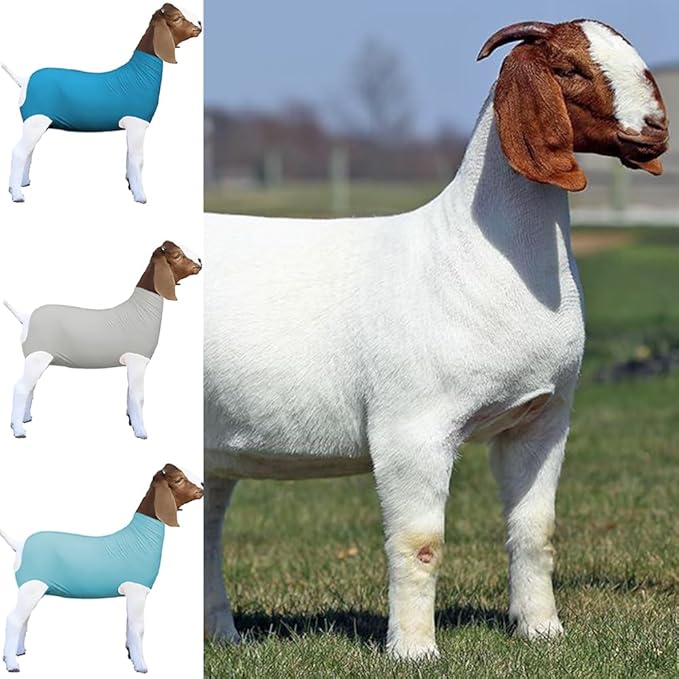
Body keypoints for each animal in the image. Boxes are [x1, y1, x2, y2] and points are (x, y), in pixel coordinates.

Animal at [0, 463, 203, 673]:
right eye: (178, 479)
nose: (203, 486)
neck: (139, 537)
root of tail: (19, 545)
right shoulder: (137, 590)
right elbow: (138, 628)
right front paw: (141, 666)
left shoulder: (131, 594)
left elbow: (129, 626)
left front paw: (130, 654)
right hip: (32, 587)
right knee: (13, 620)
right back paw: (12, 664)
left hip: (31, 589)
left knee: (24, 619)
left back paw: (18, 652)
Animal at [2, 4, 201, 203]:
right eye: (176, 18)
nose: (200, 23)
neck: (138, 75)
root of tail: (23, 81)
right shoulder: (137, 124)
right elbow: (137, 160)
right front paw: (140, 196)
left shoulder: (131, 127)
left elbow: (129, 158)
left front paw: (131, 186)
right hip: (36, 121)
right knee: (19, 152)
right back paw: (17, 194)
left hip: (36, 123)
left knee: (28, 152)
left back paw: (22, 184)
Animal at [4, 241, 201, 439]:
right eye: (177, 255)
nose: (200, 261)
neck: (140, 310)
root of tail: (26, 318)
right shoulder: (137, 360)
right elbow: (138, 396)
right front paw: (141, 432)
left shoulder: (131, 363)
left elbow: (129, 394)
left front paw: (131, 421)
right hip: (37, 356)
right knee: (21, 388)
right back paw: (18, 430)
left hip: (37, 359)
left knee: (30, 388)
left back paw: (25, 419)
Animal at [203, 20, 669, 658]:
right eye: (569, 69)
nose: (656, 127)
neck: (474, 251)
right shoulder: (412, 430)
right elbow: (420, 543)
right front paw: (414, 650)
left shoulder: (543, 421)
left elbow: (536, 531)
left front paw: (543, 632)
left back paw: (223, 637)